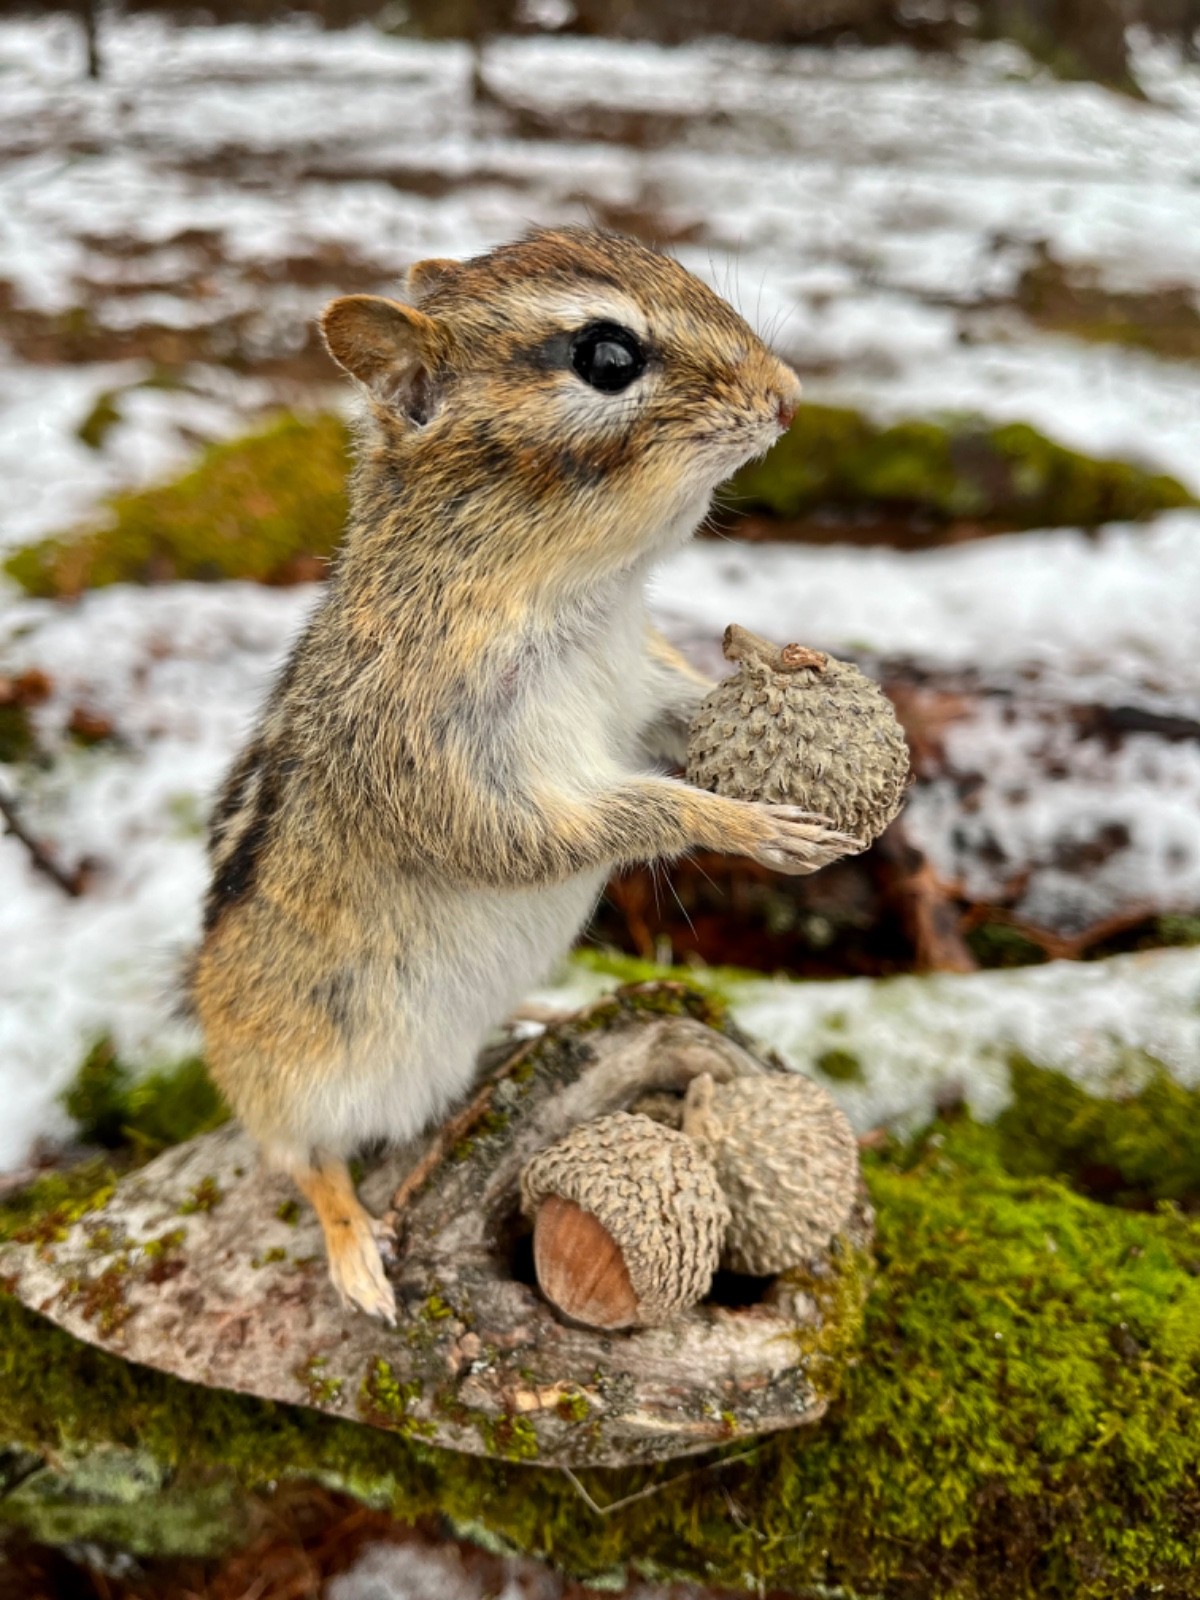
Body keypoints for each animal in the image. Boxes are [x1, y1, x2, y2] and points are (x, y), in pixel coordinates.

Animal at [192, 226, 861, 1322]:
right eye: (607, 358)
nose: (789, 399)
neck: (583, 591)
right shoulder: (444, 767)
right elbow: (600, 819)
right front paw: (747, 825)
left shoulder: (637, 689)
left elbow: (686, 720)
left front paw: (791, 660)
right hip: (298, 1070)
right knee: (300, 1158)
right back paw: (352, 1247)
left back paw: (543, 1009)